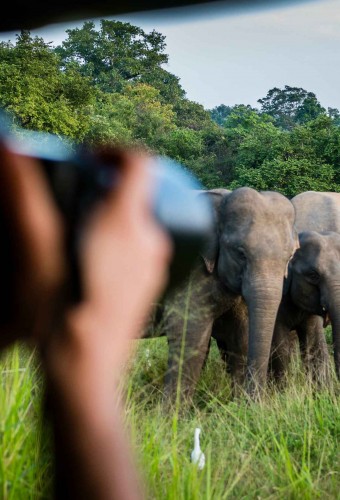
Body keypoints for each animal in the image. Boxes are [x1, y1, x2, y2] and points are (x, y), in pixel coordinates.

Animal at [163, 188, 298, 402]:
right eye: (240, 253)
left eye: (290, 257)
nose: (256, 402)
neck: (222, 198)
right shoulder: (189, 270)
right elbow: (188, 335)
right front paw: (171, 411)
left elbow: (239, 339)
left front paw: (238, 403)